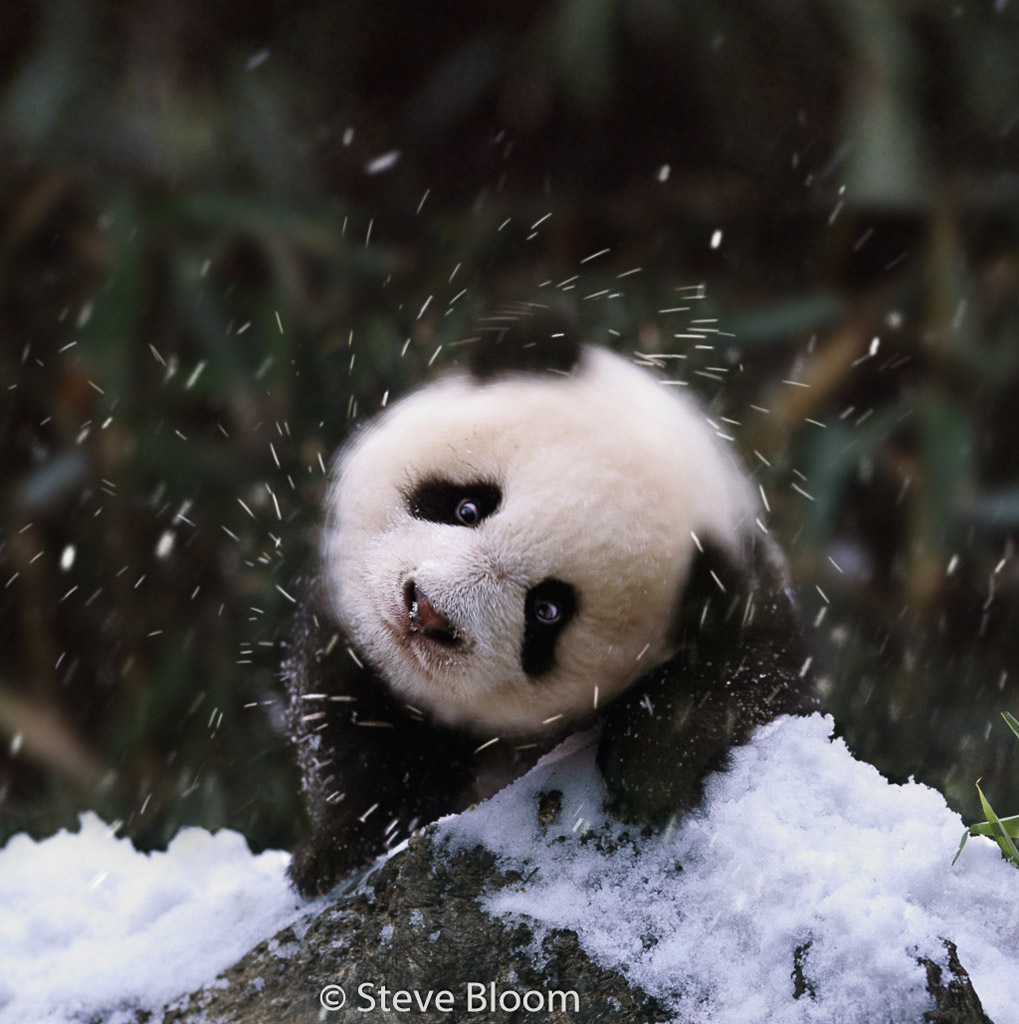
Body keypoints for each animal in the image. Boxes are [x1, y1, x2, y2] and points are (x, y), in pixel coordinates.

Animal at [286, 304, 816, 896]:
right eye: (468, 507)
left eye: (546, 612)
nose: (428, 612)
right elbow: (349, 720)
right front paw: (336, 850)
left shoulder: (744, 602)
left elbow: (752, 677)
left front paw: (650, 766)